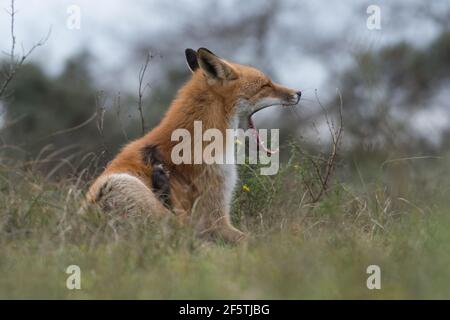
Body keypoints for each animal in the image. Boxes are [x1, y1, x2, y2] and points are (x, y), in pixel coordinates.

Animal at [86, 48, 300, 242]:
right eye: (266, 85)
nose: (298, 92)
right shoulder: (216, 216)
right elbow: (257, 240)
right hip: (126, 186)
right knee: (184, 233)